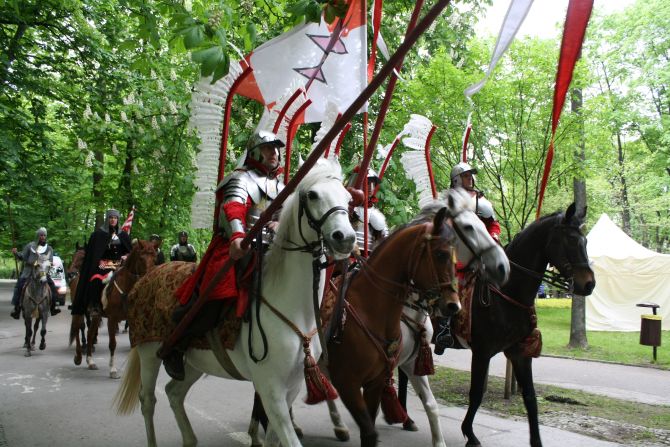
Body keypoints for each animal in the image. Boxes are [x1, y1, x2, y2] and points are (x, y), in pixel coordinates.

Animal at [69, 240, 156, 376]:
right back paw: (78, 356)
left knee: (90, 333)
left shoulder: (131, 319)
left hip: (96, 315)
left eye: (155, 257)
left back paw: (91, 361)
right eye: (142, 258)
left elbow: (133, 343)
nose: (70, 273)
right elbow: (112, 344)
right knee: (78, 329)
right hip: (79, 309)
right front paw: (113, 369)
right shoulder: (112, 318)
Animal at [114, 160, 356, 447]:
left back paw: (190, 439)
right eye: (313, 195)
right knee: (148, 400)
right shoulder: (270, 388)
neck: (294, 310)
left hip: (194, 362)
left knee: (174, 392)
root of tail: (146, 278)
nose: (346, 238)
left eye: (348, 199)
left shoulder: (292, 387)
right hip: (149, 351)